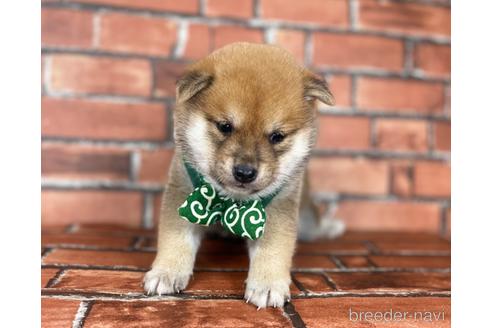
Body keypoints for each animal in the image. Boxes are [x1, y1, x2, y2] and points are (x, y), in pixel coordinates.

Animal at [144, 41, 344, 308]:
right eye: (224, 126)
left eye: (277, 136)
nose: (245, 172)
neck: (230, 202)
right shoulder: (184, 193)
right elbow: (176, 238)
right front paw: (166, 272)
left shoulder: (278, 207)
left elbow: (273, 248)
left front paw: (268, 284)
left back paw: (330, 228)